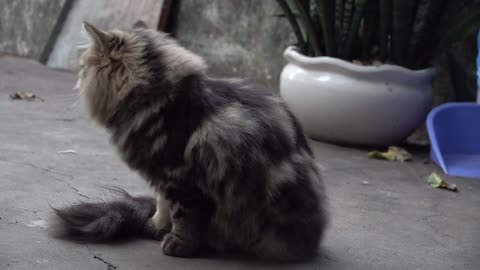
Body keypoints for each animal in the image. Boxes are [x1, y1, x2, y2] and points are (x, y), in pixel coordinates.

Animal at [53, 22, 330, 260]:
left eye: (84, 66)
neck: (157, 100)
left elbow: (183, 216)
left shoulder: (181, 176)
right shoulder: (161, 176)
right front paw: (156, 226)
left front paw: (179, 244)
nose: (79, 75)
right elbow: (163, 205)